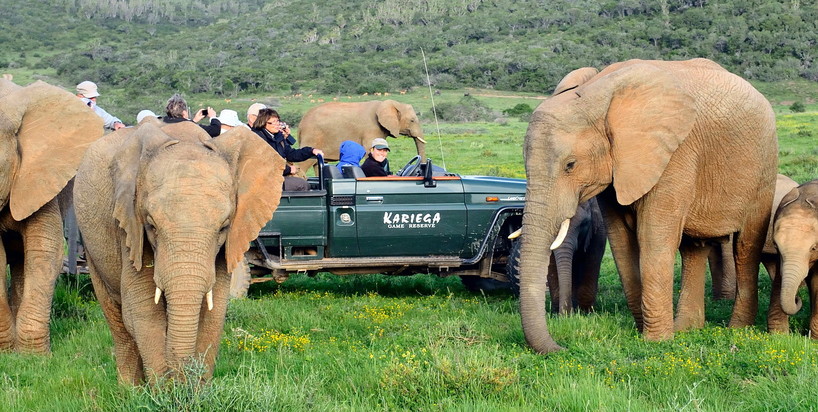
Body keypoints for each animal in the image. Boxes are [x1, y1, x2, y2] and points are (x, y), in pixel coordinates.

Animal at [73, 122, 285, 384]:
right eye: (151, 225)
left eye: (223, 227)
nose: (181, 378)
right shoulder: (130, 228)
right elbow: (143, 309)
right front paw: (166, 389)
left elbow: (214, 313)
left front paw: (193, 389)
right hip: (91, 243)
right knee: (117, 319)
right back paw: (130, 388)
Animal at [517, 58, 778, 353]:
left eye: (570, 165)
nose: (563, 347)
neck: (598, 94)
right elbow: (620, 239)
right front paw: (647, 332)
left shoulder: (675, 154)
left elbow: (654, 236)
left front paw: (656, 342)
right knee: (694, 248)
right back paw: (686, 328)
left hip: (764, 164)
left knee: (745, 246)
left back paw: (737, 330)